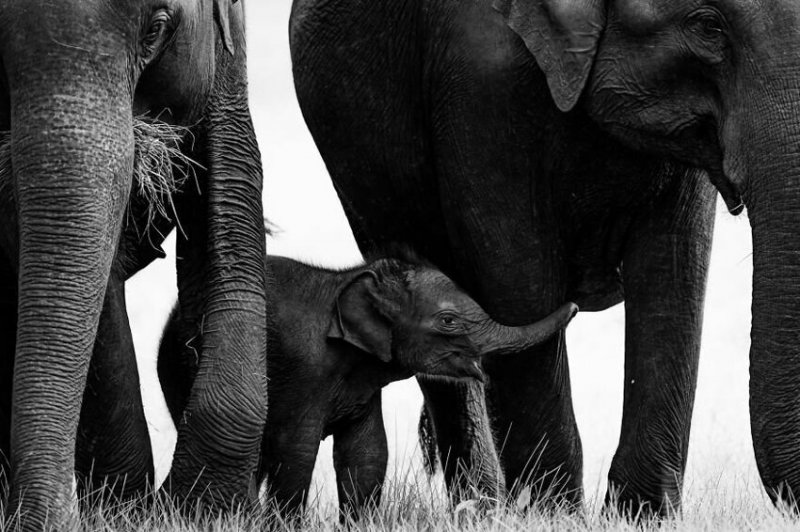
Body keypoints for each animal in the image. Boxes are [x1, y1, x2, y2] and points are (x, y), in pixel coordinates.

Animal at [155, 254, 576, 520]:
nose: (573, 305)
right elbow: (296, 452)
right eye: (448, 320)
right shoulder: (306, 370)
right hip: (181, 365)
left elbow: (367, 454)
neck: (350, 279)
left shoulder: (363, 383)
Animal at [290, 0, 800, 516]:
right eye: (708, 26)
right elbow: (519, 279)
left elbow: (673, 269)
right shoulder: (478, 71)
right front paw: (555, 514)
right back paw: (484, 511)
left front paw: (640, 515)